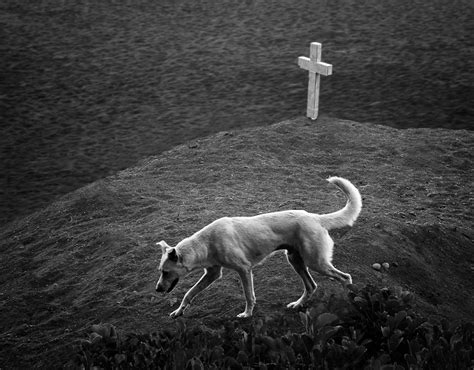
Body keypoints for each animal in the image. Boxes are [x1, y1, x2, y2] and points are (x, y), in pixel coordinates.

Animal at [154, 176, 362, 318]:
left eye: (165, 272)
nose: (157, 289)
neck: (205, 243)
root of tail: (315, 217)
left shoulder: (244, 269)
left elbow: (249, 295)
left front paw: (247, 314)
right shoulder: (212, 273)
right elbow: (189, 293)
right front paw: (179, 311)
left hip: (315, 262)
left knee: (345, 277)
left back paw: (352, 300)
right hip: (295, 259)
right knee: (311, 286)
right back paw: (298, 304)